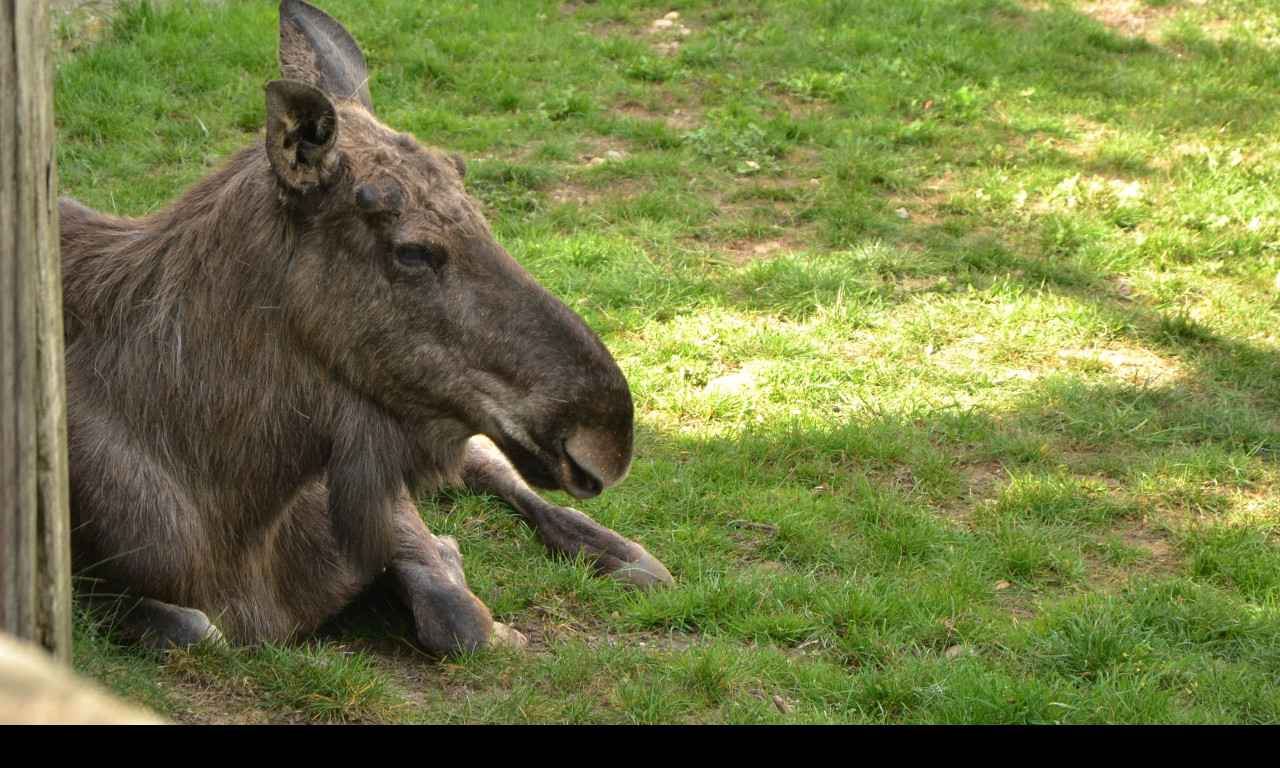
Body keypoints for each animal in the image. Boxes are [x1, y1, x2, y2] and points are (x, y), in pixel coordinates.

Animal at [60, 3, 670, 655]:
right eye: (412, 251)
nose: (608, 433)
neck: (241, 511)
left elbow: (459, 617)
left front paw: (457, 567)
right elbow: (193, 628)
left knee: (492, 467)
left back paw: (623, 553)